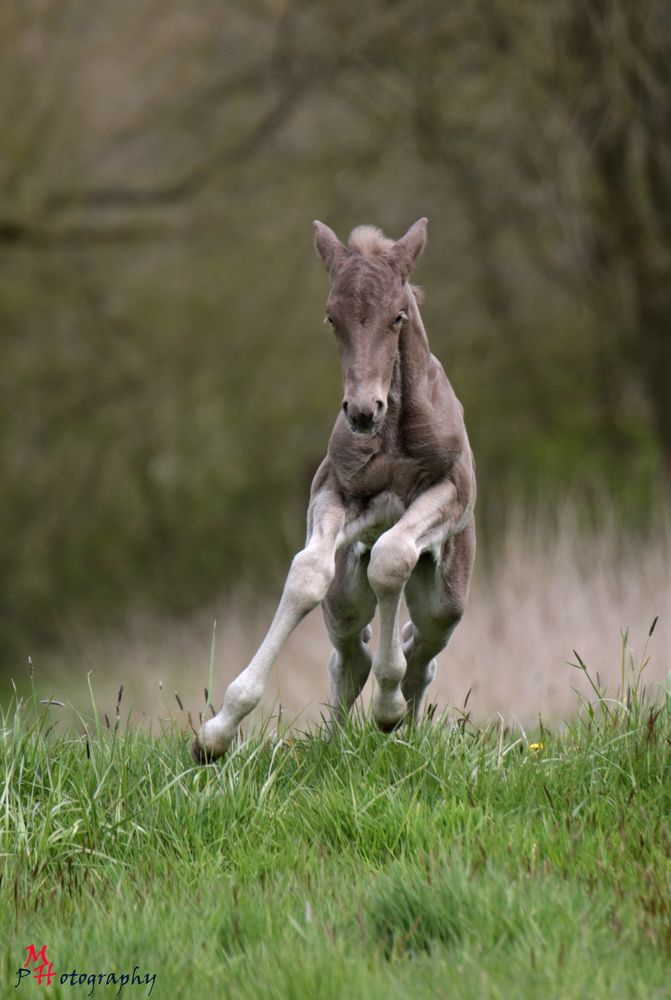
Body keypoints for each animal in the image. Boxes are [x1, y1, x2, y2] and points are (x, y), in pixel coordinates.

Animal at [193, 219, 478, 760]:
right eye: (332, 318)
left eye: (397, 317)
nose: (363, 411)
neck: (393, 431)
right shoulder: (333, 492)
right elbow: (307, 574)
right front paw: (216, 732)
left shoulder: (450, 490)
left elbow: (392, 558)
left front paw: (387, 708)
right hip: (347, 594)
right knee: (352, 653)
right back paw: (338, 739)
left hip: (446, 599)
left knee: (422, 648)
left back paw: (402, 721)